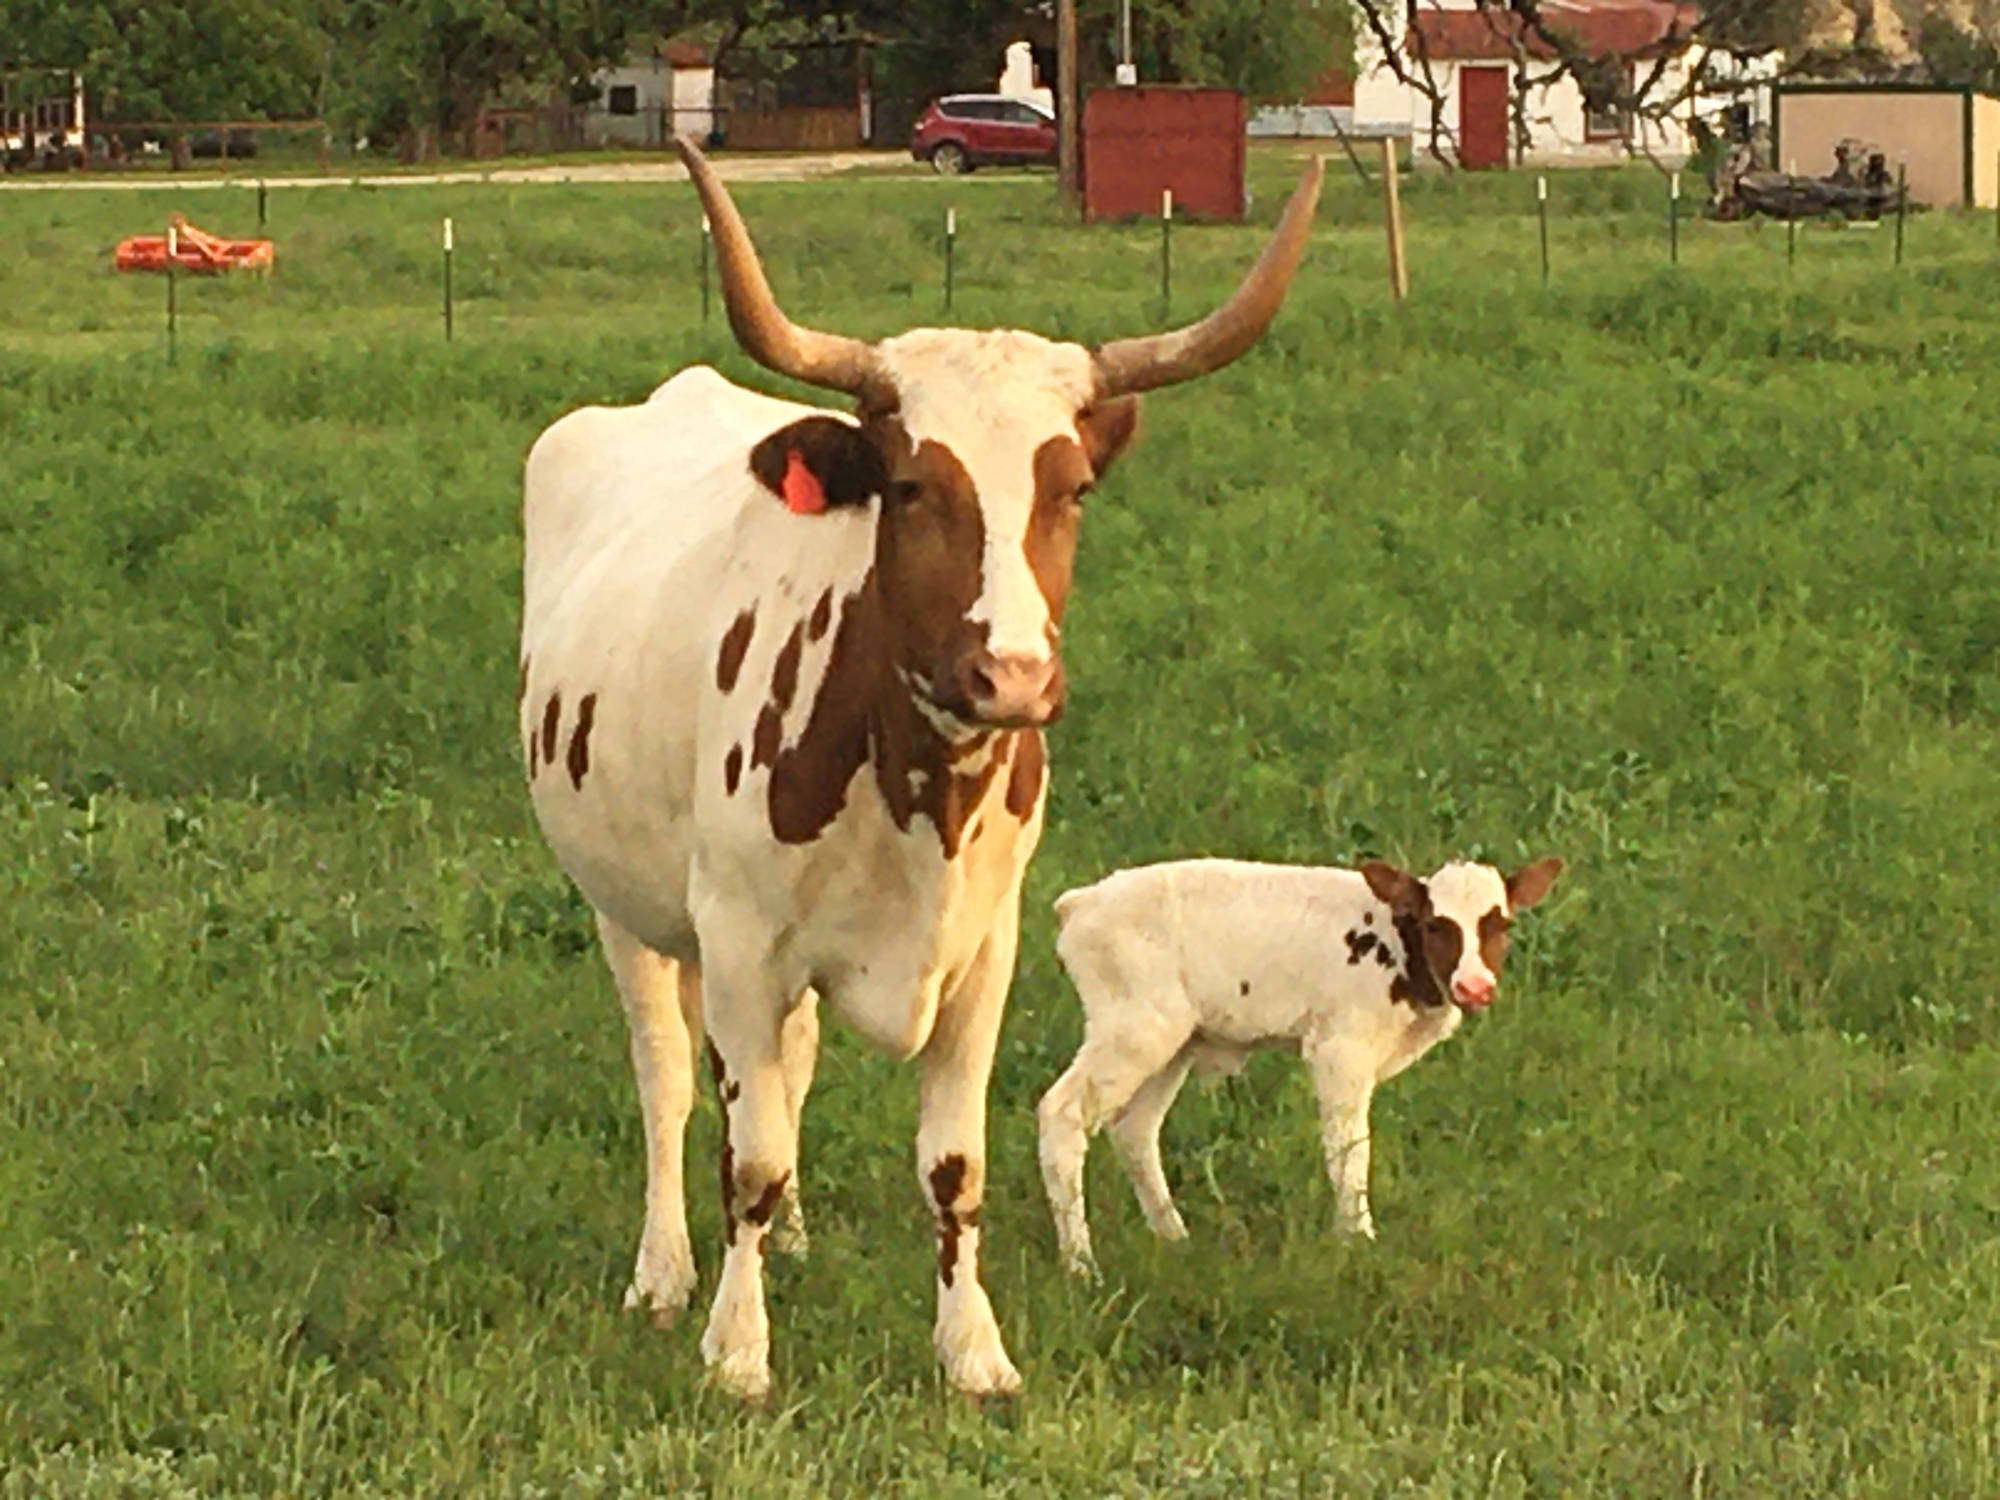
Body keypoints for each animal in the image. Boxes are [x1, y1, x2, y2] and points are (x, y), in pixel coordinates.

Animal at [517, 139, 1324, 1402]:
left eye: (1070, 489)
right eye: (908, 486)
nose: (1012, 677)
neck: (915, 793)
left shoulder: (982, 953)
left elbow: (951, 1163)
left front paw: (972, 1351)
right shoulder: (739, 942)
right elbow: (742, 1153)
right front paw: (736, 1351)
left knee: (788, 1069)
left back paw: (794, 1241)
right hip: (627, 908)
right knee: (667, 1080)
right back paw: (664, 1272)